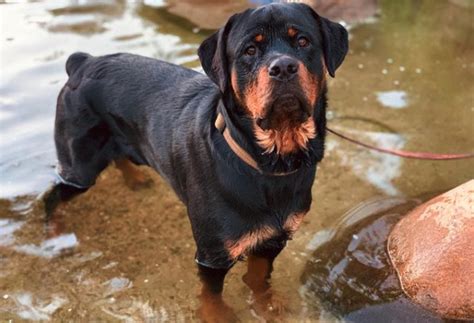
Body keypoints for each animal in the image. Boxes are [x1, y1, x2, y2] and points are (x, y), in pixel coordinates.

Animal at [45, 1, 348, 322]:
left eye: (303, 41)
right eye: (250, 50)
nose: (283, 67)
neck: (270, 163)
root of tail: (83, 63)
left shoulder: (274, 238)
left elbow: (258, 277)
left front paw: (266, 305)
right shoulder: (213, 253)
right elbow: (212, 294)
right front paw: (218, 315)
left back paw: (135, 179)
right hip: (80, 166)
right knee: (54, 196)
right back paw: (54, 235)